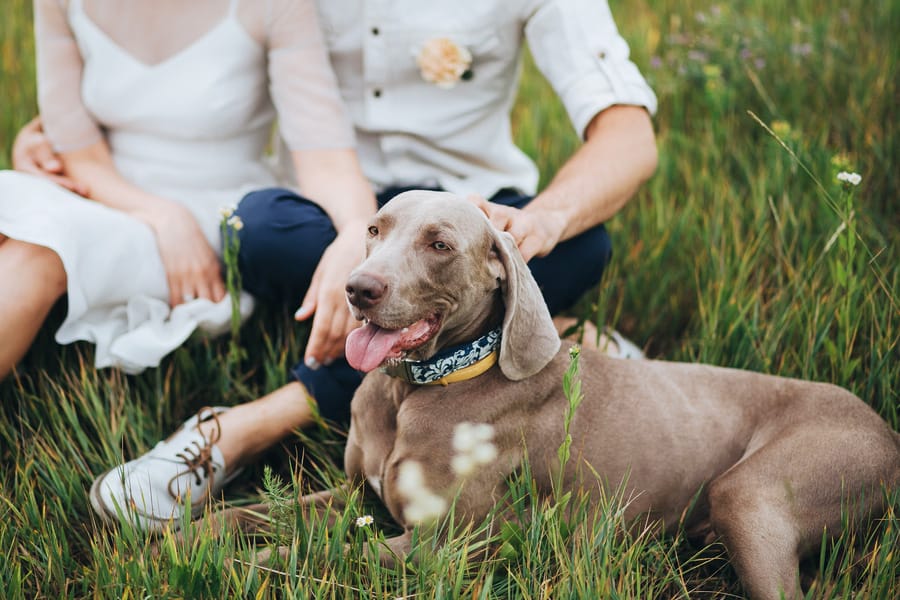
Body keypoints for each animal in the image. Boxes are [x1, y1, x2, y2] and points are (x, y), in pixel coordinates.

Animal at [214, 190, 900, 596]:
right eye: (374, 230)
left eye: (440, 245)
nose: (357, 288)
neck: (415, 393)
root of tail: (884, 427)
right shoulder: (359, 493)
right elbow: (242, 519)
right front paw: (186, 533)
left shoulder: (443, 547)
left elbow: (293, 555)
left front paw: (230, 564)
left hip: (753, 492)